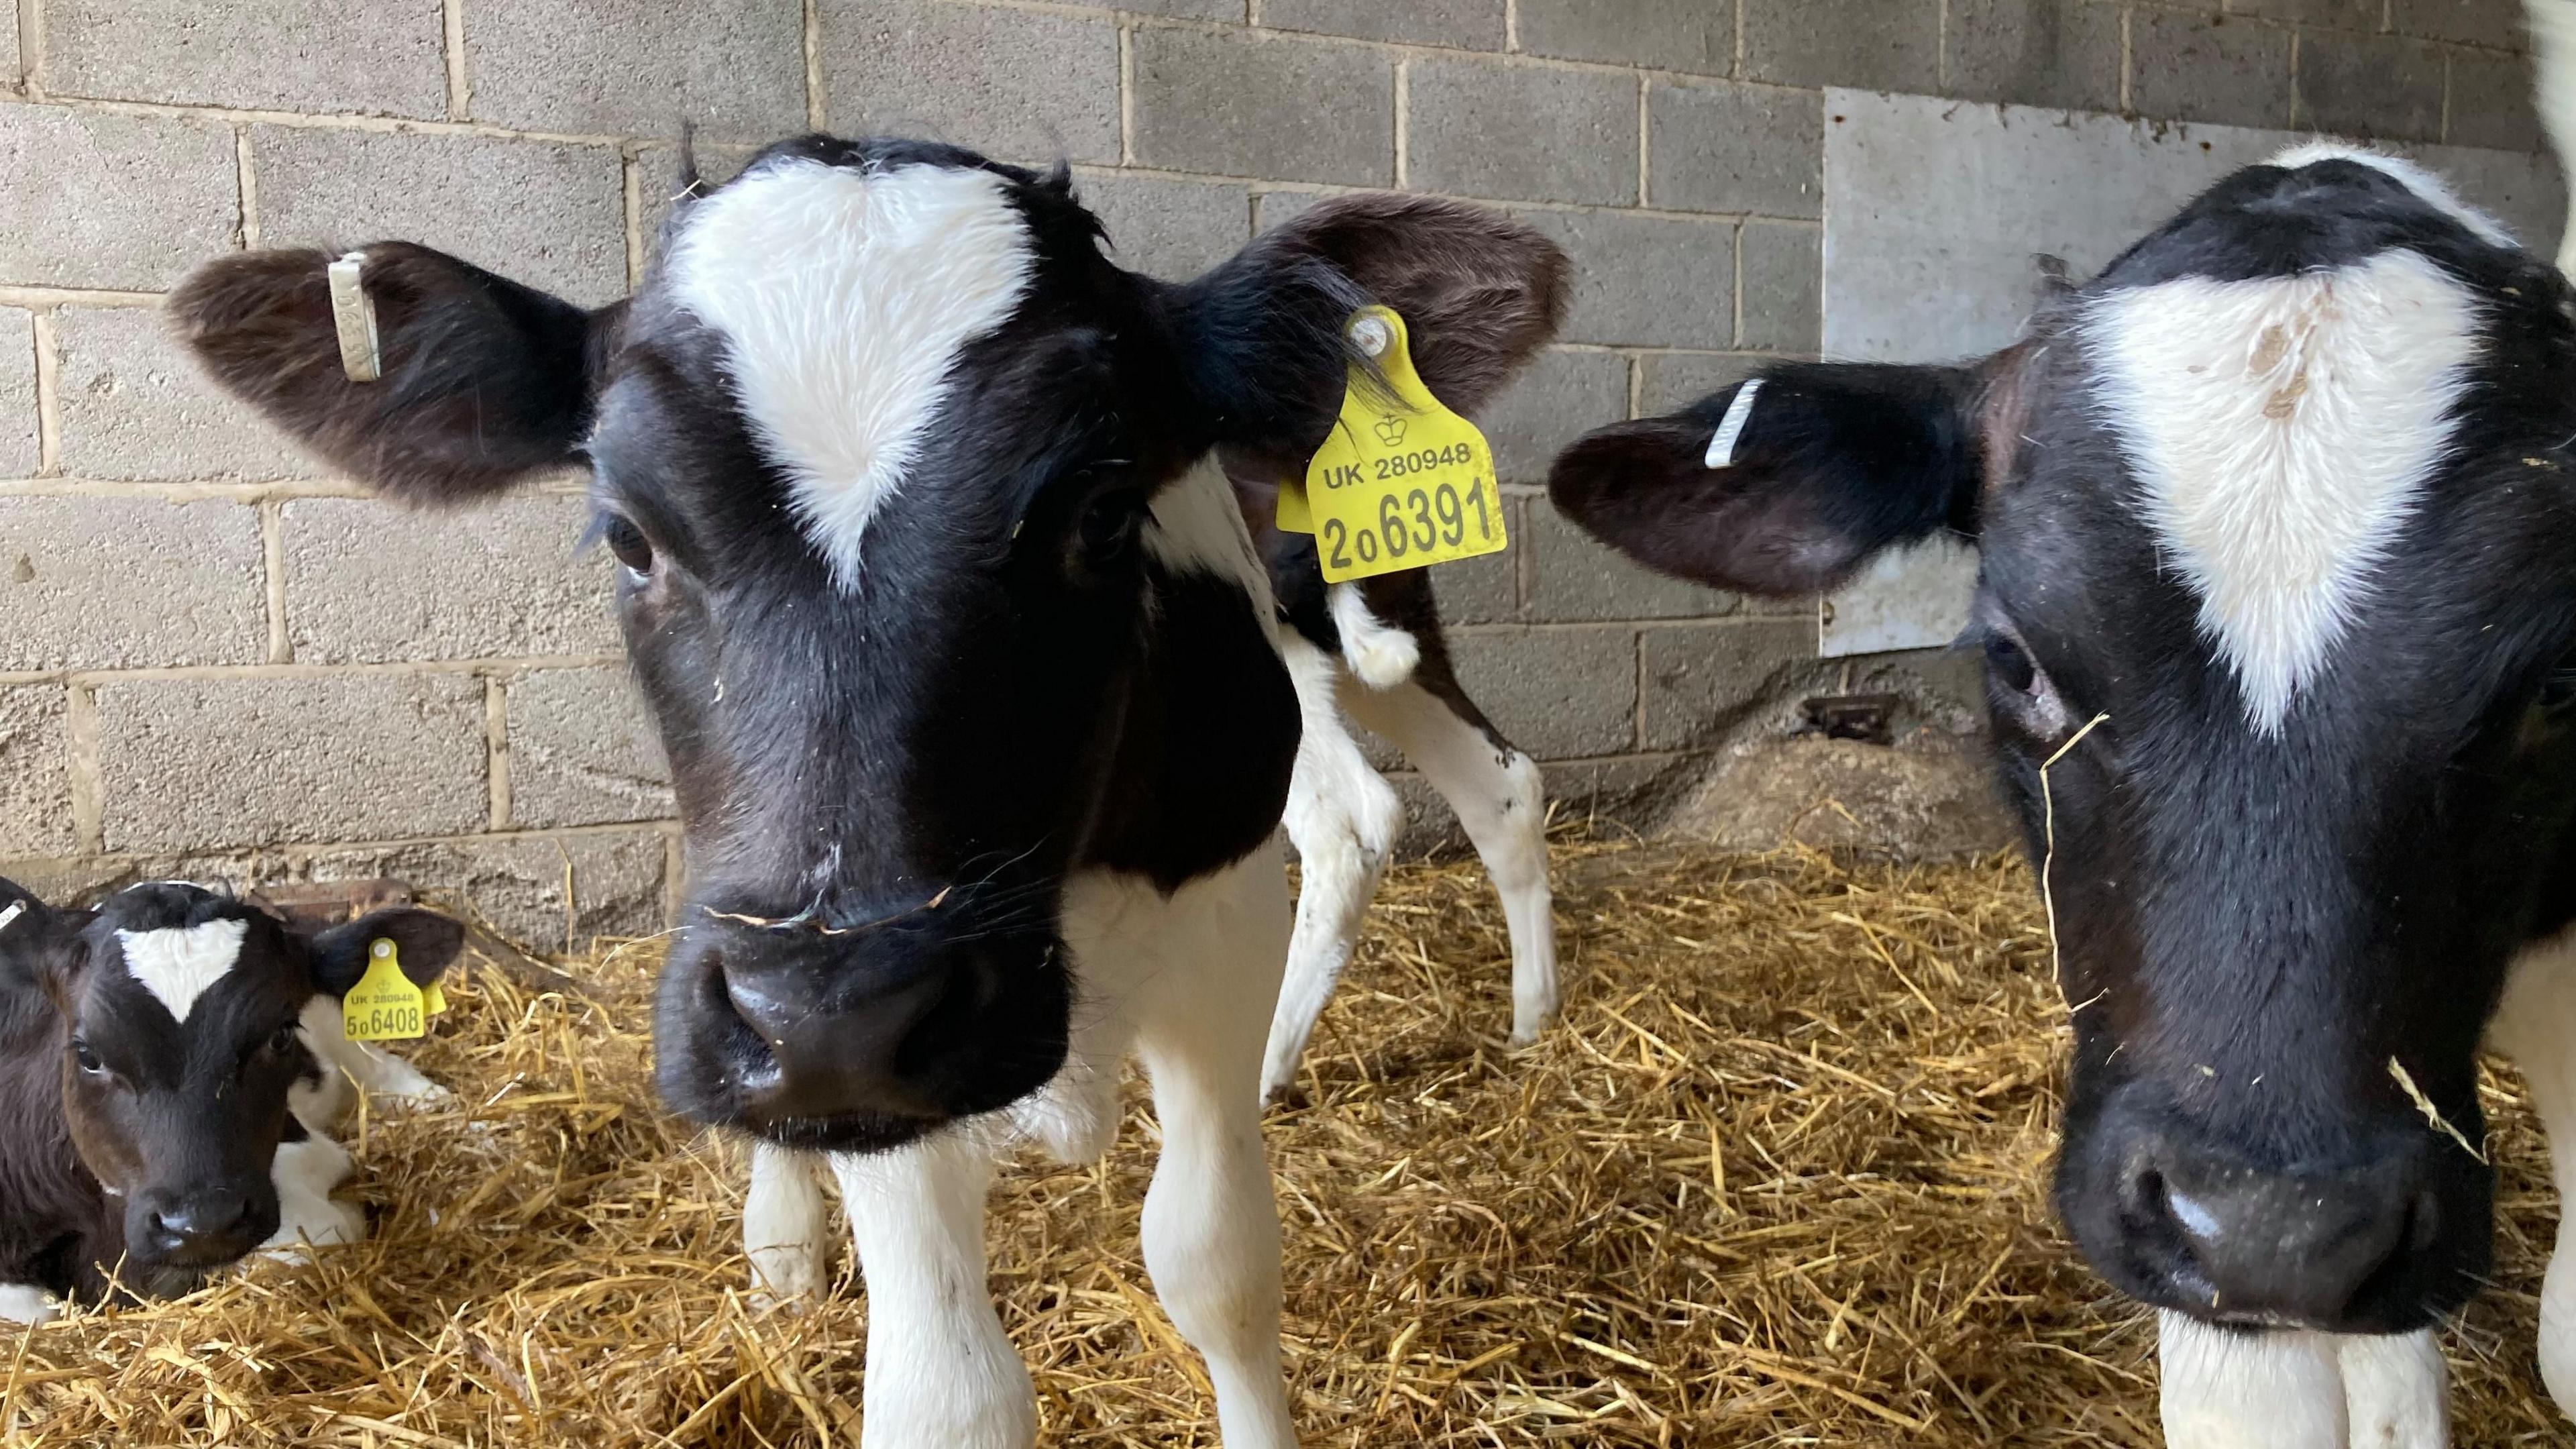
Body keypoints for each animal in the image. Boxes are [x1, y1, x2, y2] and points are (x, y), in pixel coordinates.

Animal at [167, 136, 1566, 1447]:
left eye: (1105, 512)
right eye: (627, 532)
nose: (828, 1018)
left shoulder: (1213, 914)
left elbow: (1217, 1269)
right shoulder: (860, 1052)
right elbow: (951, 1394)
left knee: (1444, 794)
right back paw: (782, 1239)